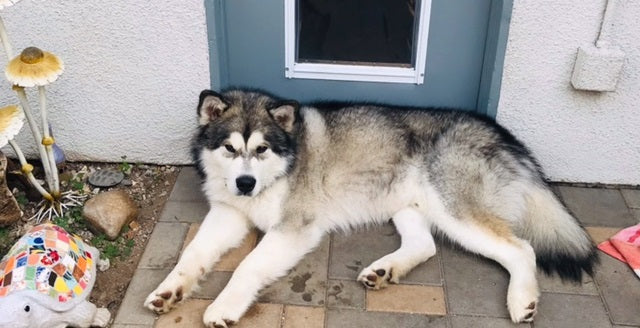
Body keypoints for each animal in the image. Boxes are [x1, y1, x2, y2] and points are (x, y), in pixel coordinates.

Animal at [144, 89, 596, 326]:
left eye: (261, 149)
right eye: (229, 148)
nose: (245, 183)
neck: (280, 170)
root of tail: (501, 131)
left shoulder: (294, 227)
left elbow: (246, 266)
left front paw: (223, 305)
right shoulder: (229, 214)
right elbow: (191, 255)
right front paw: (169, 290)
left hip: (453, 208)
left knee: (522, 249)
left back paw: (522, 301)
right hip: (406, 202)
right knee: (425, 245)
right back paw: (385, 271)